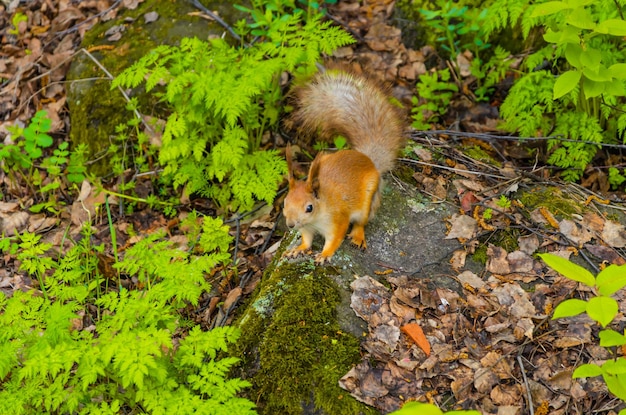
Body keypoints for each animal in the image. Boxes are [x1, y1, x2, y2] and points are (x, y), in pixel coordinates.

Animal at [282, 68, 404, 264]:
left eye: (309, 207)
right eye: (285, 203)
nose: (291, 224)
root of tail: (367, 159)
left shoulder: (338, 220)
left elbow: (335, 239)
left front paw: (324, 254)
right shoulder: (307, 228)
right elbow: (307, 240)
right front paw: (298, 249)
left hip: (366, 203)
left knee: (361, 222)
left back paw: (357, 236)